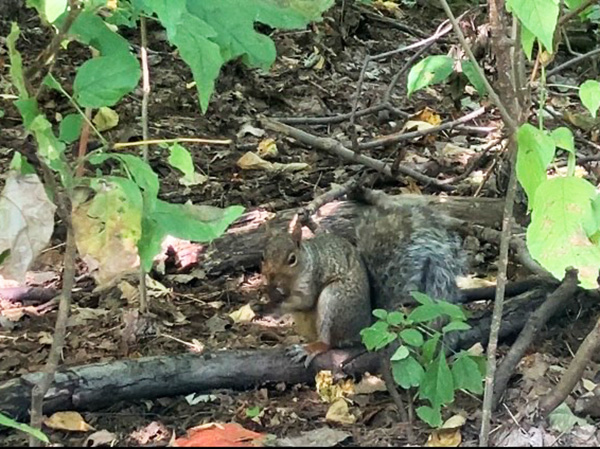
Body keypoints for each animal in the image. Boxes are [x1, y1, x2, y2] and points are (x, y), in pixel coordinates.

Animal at [260, 187, 466, 366]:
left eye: (292, 259)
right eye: (264, 255)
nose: (271, 276)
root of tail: (364, 327)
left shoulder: (312, 278)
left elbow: (305, 301)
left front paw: (272, 307)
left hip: (335, 301)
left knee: (328, 342)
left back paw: (310, 348)